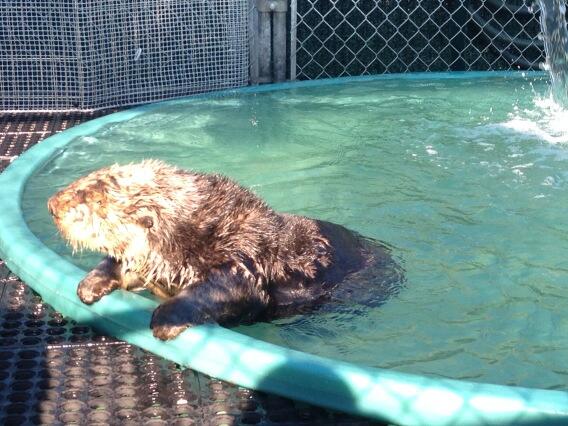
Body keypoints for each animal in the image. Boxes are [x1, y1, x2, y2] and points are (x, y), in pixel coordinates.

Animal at [48, 159, 404, 340]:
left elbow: (222, 291)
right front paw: (91, 284)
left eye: (95, 200)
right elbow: (123, 264)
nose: (52, 205)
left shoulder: (238, 260)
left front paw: (164, 321)